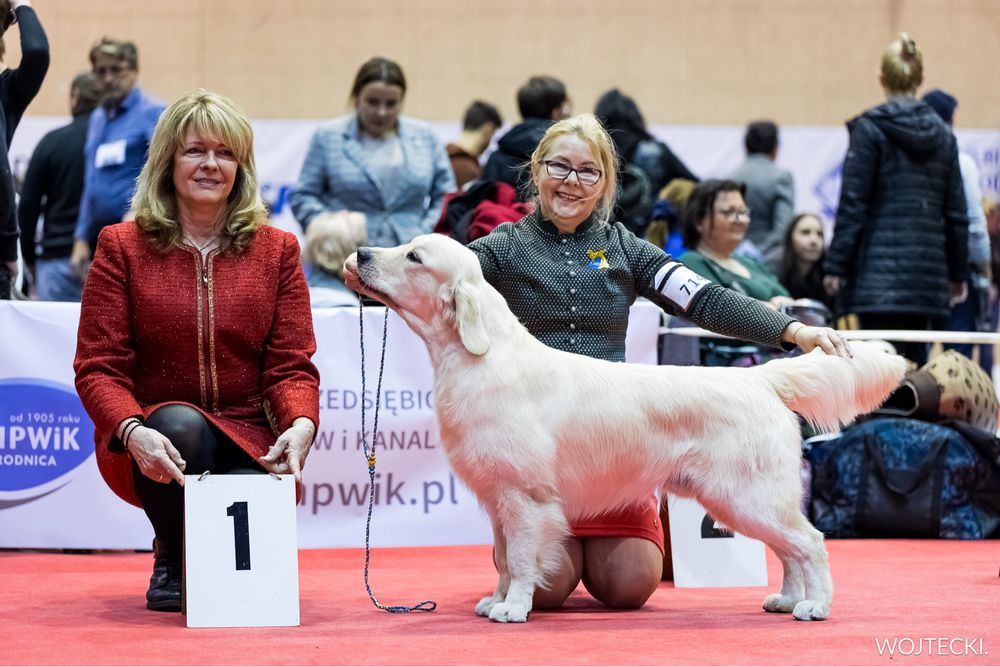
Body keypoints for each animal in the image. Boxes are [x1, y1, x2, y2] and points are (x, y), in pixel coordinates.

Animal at [342, 232, 908, 624]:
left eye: (415, 257)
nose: (360, 254)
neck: (477, 359)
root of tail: (760, 378)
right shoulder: (500, 497)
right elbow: (502, 558)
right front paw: (496, 600)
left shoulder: (525, 496)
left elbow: (520, 559)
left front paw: (514, 608)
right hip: (746, 498)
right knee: (790, 549)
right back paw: (788, 599)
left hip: (748, 494)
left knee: (809, 542)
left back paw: (815, 607)